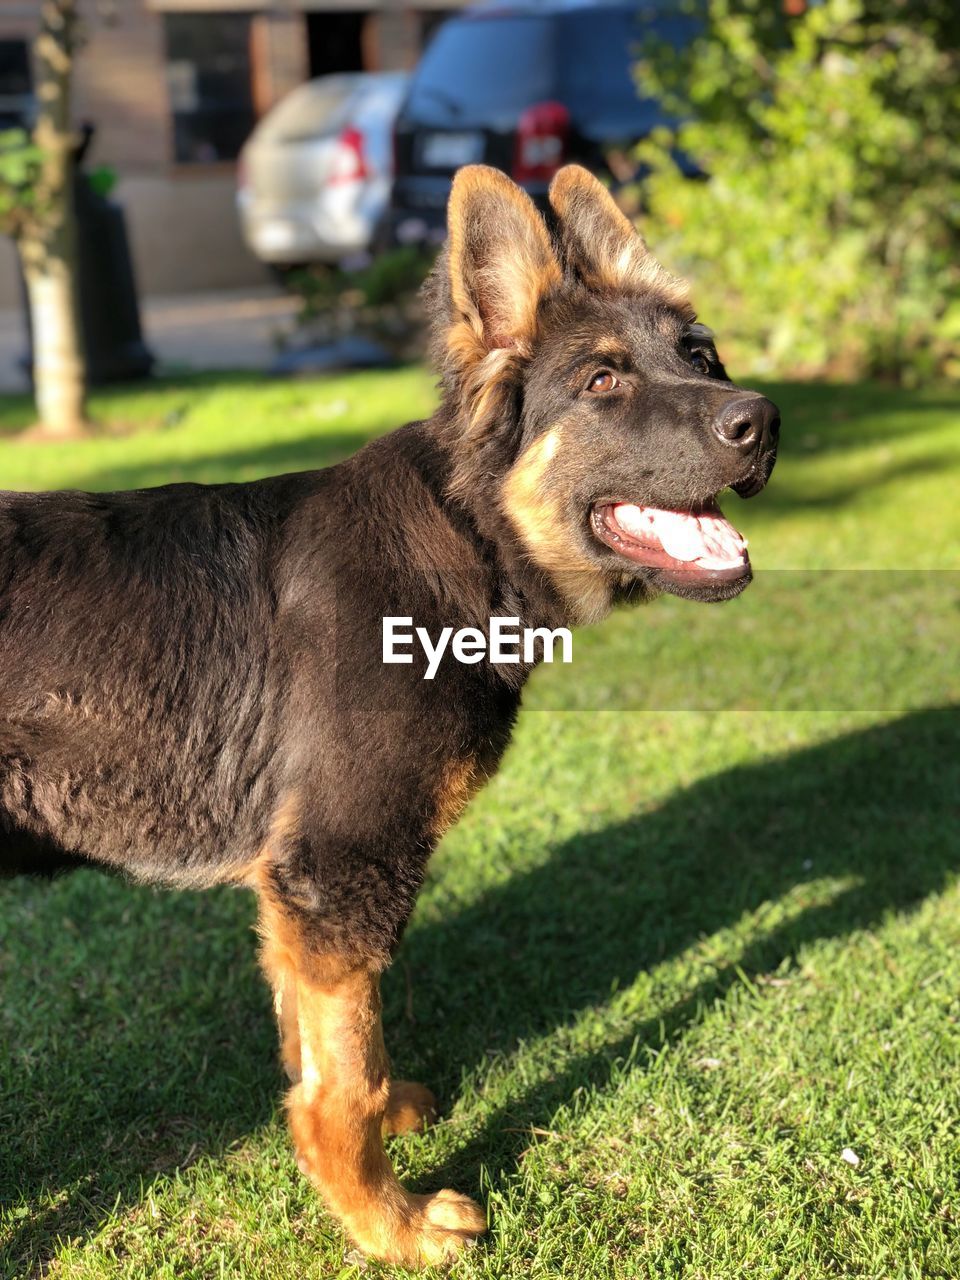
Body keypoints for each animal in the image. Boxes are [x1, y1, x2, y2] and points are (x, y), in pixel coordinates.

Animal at [0, 165, 783, 1264]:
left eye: (701, 356)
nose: (763, 421)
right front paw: (391, 1225)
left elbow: (315, 1045)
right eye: (601, 382)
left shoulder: (298, 886)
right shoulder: (343, 862)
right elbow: (347, 1078)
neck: (466, 535)